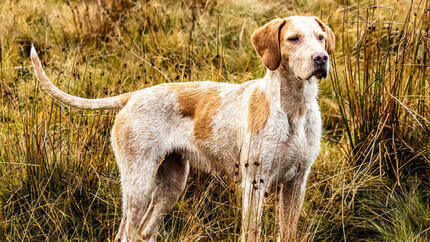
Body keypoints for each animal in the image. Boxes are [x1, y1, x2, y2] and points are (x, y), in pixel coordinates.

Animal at [31, 16, 336, 241]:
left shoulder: (296, 183)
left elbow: (289, 230)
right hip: (138, 185)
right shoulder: (255, 182)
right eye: (293, 39)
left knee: (144, 232)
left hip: (172, 184)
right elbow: (251, 231)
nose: (321, 58)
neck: (294, 109)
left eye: (320, 37)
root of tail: (133, 96)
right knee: (126, 234)